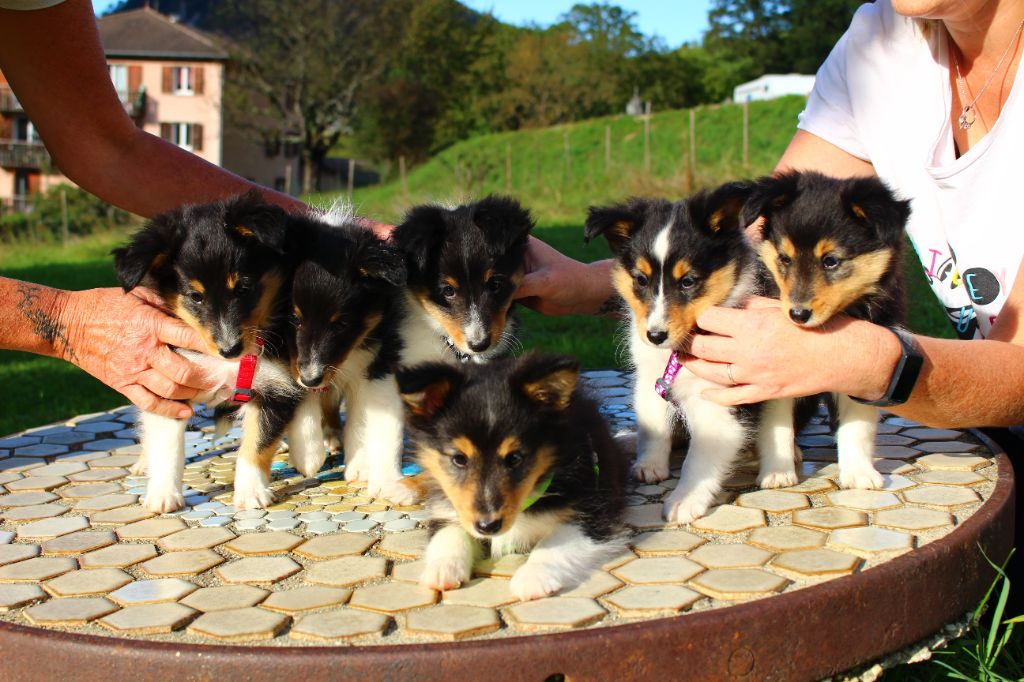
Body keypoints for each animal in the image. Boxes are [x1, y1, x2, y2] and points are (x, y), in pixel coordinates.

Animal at [110, 191, 313, 509]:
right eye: (195, 296)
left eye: (243, 287)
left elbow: (257, 442)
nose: (230, 350)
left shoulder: (276, 387)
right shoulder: (169, 378)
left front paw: (251, 492)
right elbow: (167, 444)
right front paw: (163, 496)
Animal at [397, 352, 622, 598]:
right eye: (459, 458)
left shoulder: (592, 512)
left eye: (514, 458)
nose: (487, 527)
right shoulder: (448, 509)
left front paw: (533, 578)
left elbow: (555, 541)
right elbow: (449, 532)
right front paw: (441, 569)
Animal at [585, 180, 770, 520]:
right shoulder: (650, 379)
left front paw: (684, 501)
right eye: (641, 279)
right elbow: (654, 426)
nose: (655, 335)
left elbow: (699, 459)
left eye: (688, 281)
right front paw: (649, 465)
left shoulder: (718, 402)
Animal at [745, 169, 913, 489]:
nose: (797, 314)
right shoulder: (771, 375)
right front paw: (777, 472)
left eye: (831, 261)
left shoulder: (861, 369)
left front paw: (859, 474)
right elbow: (777, 426)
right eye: (785, 259)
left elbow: (856, 427)